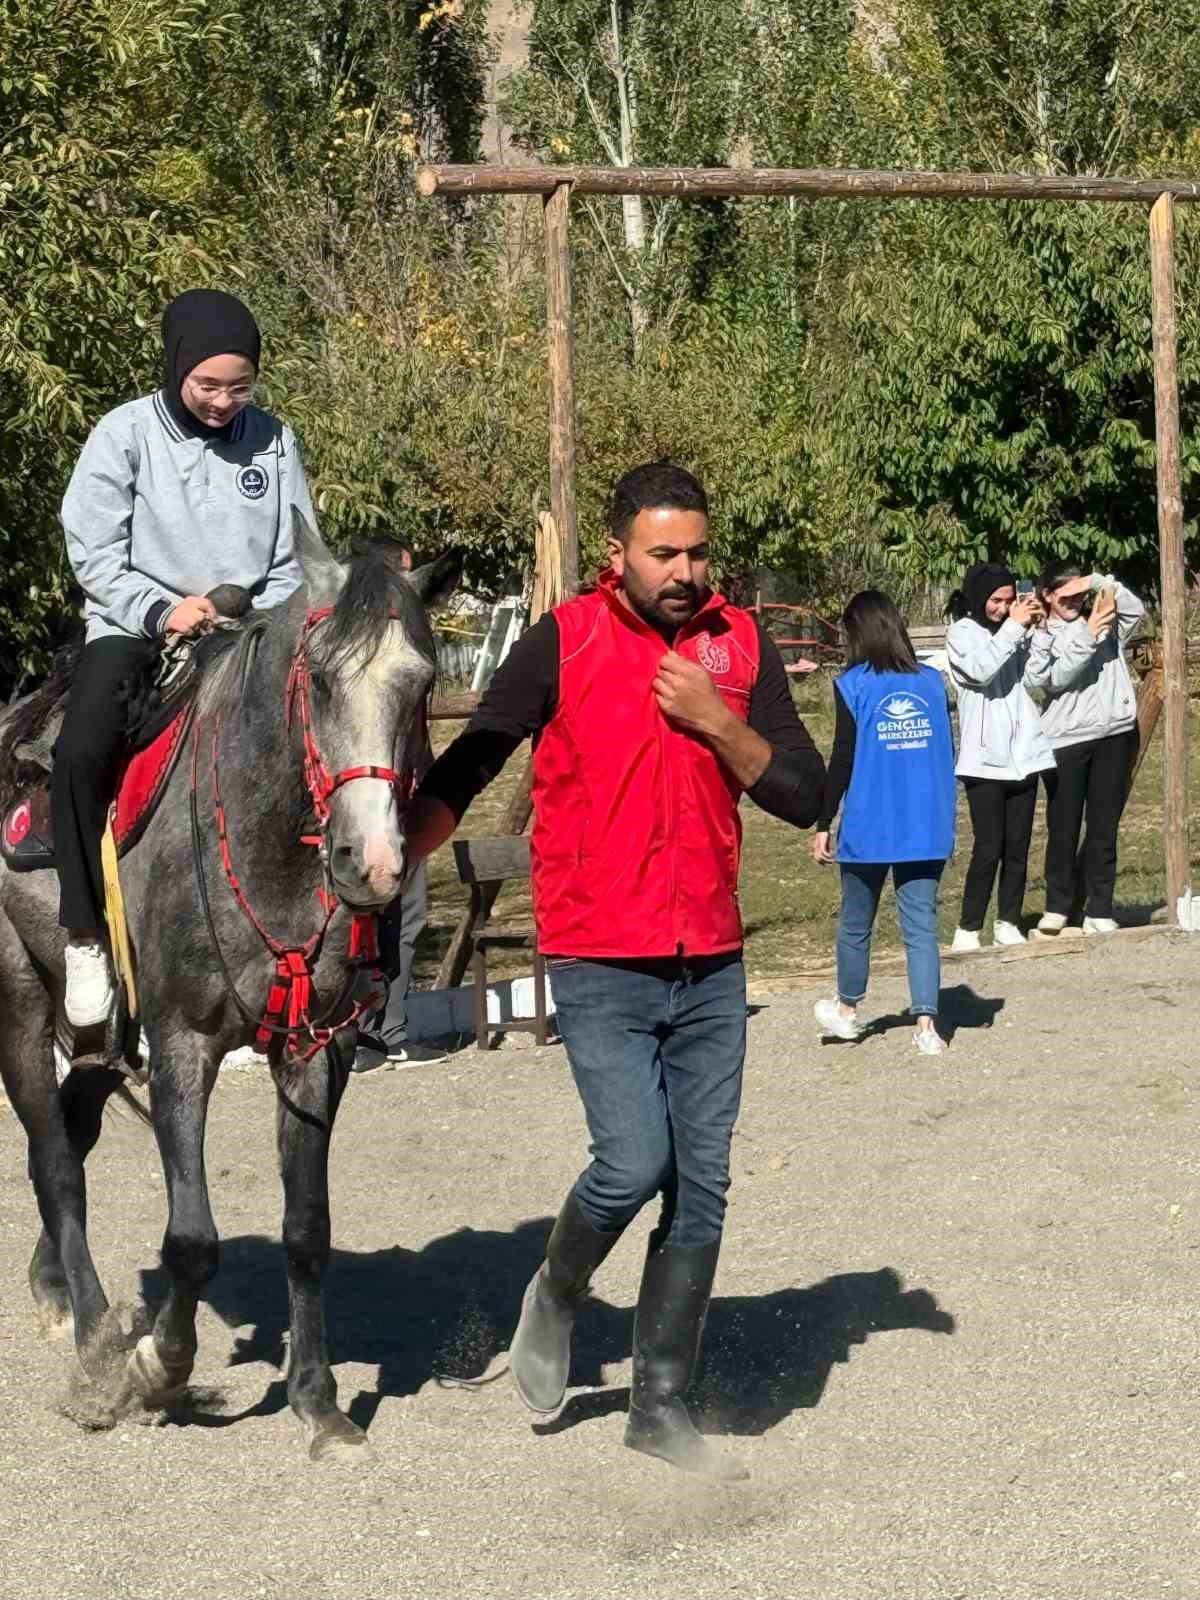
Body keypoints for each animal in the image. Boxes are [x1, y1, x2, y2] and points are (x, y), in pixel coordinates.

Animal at [0, 524, 457, 1465]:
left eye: (423, 681)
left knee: (67, 1135)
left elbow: (307, 1231)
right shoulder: (182, 1046)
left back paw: (53, 1287)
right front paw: (156, 1368)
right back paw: (97, 1340)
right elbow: (193, 1240)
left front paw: (319, 1404)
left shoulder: (317, 1050)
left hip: (98, 1040)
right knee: (55, 1160)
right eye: (320, 677)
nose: (372, 863)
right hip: (21, 1000)